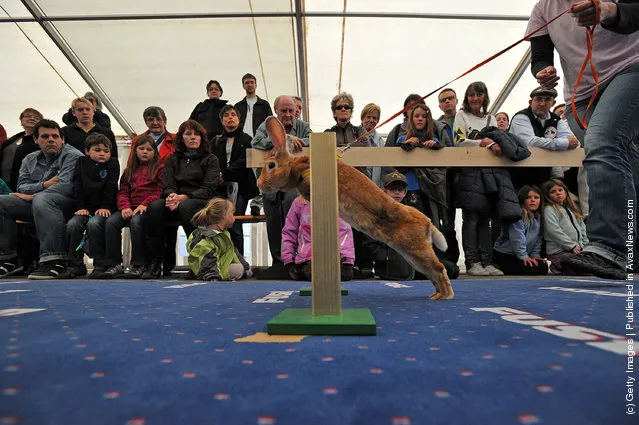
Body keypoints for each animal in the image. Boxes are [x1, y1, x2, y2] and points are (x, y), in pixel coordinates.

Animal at [256, 116, 456, 298]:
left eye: (271, 165)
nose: (259, 184)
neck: (296, 167)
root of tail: (428, 222)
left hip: (416, 249)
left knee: (438, 268)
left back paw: (444, 296)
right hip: (412, 255)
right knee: (431, 272)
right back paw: (436, 294)